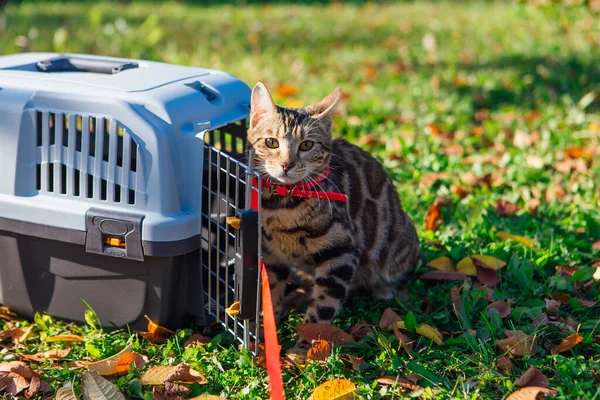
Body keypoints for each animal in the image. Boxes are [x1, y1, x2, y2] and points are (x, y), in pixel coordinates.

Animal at [246, 82, 420, 328]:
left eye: (307, 145)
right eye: (271, 142)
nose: (287, 164)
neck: (281, 206)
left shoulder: (340, 250)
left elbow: (323, 307)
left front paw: (306, 338)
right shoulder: (270, 255)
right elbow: (270, 292)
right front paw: (266, 326)